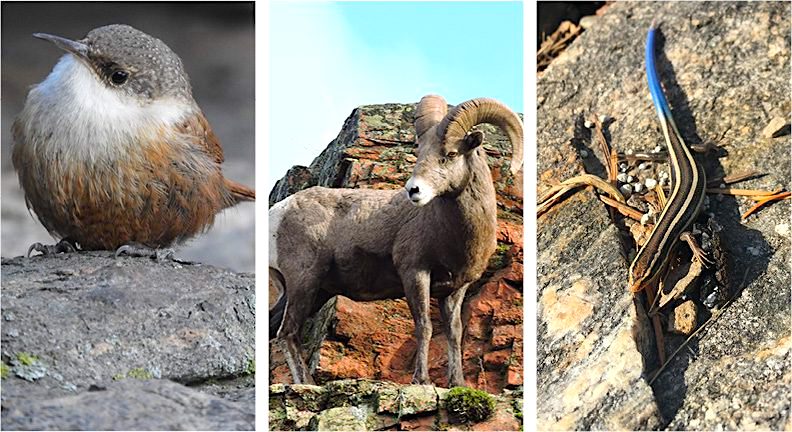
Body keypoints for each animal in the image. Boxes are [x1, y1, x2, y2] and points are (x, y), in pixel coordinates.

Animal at [269, 95, 523, 387]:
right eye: (420, 154)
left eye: (450, 155)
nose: (413, 190)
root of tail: (277, 213)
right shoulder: (415, 273)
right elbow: (424, 326)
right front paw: (421, 380)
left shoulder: (455, 289)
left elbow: (454, 332)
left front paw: (456, 383)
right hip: (304, 283)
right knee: (287, 332)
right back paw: (307, 383)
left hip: (312, 291)